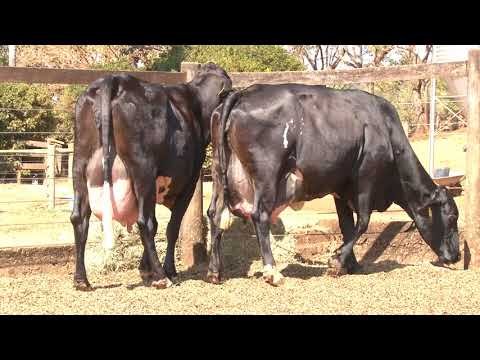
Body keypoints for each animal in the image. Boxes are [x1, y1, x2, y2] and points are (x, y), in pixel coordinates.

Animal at [70, 63, 232, 292]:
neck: (195, 104)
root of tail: (114, 80)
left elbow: (156, 224)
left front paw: (144, 267)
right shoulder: (188, 182)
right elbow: (171, 227)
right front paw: (167, 269)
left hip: (79, 164)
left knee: (79, 218)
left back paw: (81, 279)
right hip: (142, 169)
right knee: (143, 221)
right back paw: (161, 277)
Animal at [207, 83, 462, 286]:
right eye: (451, 217)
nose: (457, 256)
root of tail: (243, 92)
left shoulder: (341, 187)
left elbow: (346, 224)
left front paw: (351, 264)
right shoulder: (366, 176)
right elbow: (363, 222)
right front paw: (337, 260)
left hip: (220, 171)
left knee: (214, 214)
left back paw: (215, 272)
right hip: (267, 173)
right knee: (260, 216)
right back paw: (272, 272)